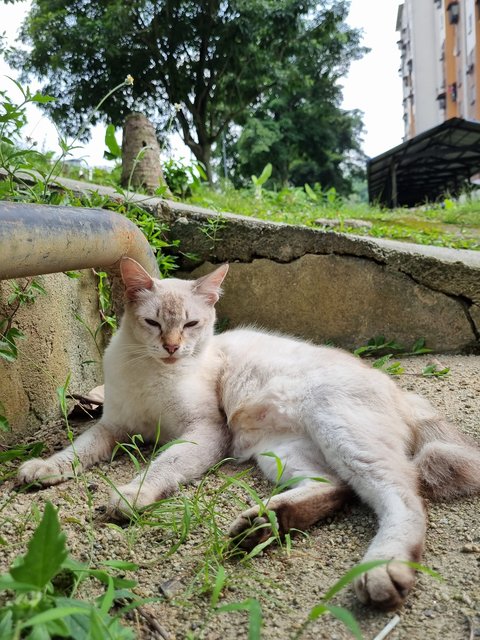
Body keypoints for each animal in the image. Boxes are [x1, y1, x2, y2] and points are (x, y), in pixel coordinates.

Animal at [19, 258, 480, 608]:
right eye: (153, 323)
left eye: (191, 324)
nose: (172, 347)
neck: (152, 372)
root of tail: (401, 390)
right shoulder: (113, 427)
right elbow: (76, 451)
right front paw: (44, 469)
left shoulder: (205, 432)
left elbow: (161, 465)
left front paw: (130, 495)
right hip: (279, 452)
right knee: (335, 487)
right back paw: (265, 523)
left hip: (339, 431)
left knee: (404, 495)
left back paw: (384, 569)